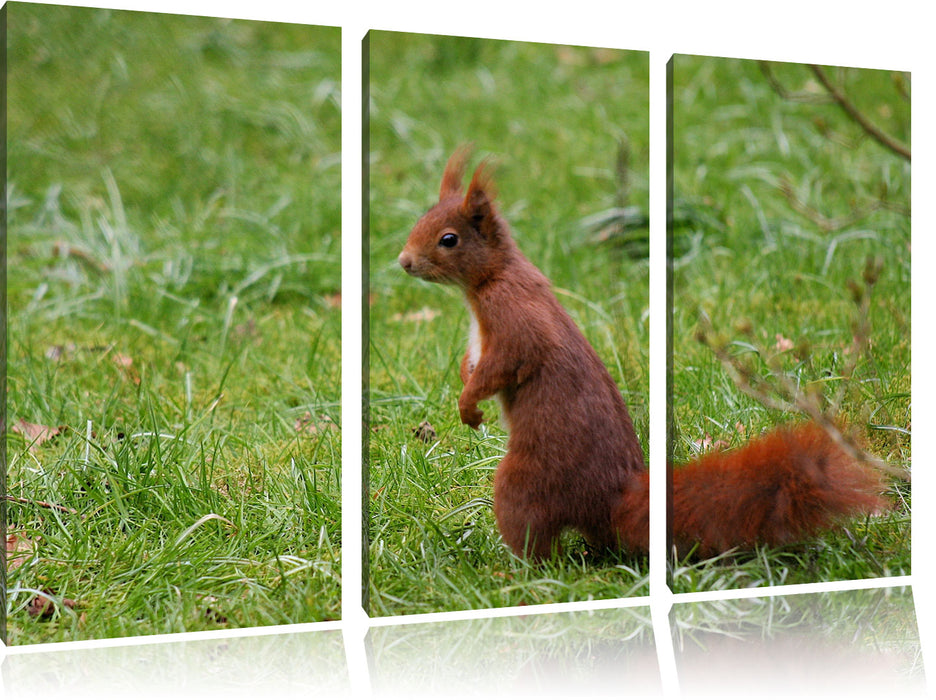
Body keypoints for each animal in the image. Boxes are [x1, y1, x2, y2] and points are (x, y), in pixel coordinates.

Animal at [394, 145, 884, 560]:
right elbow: (473, 362)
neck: (488, 281)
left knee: (536, 539)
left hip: (525, 482)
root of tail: (613, 498)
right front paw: (466, 388)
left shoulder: (515, 320)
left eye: (449, 239)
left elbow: (504, 365)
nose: (403, 262)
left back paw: (515, 570)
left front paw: (468, 404)